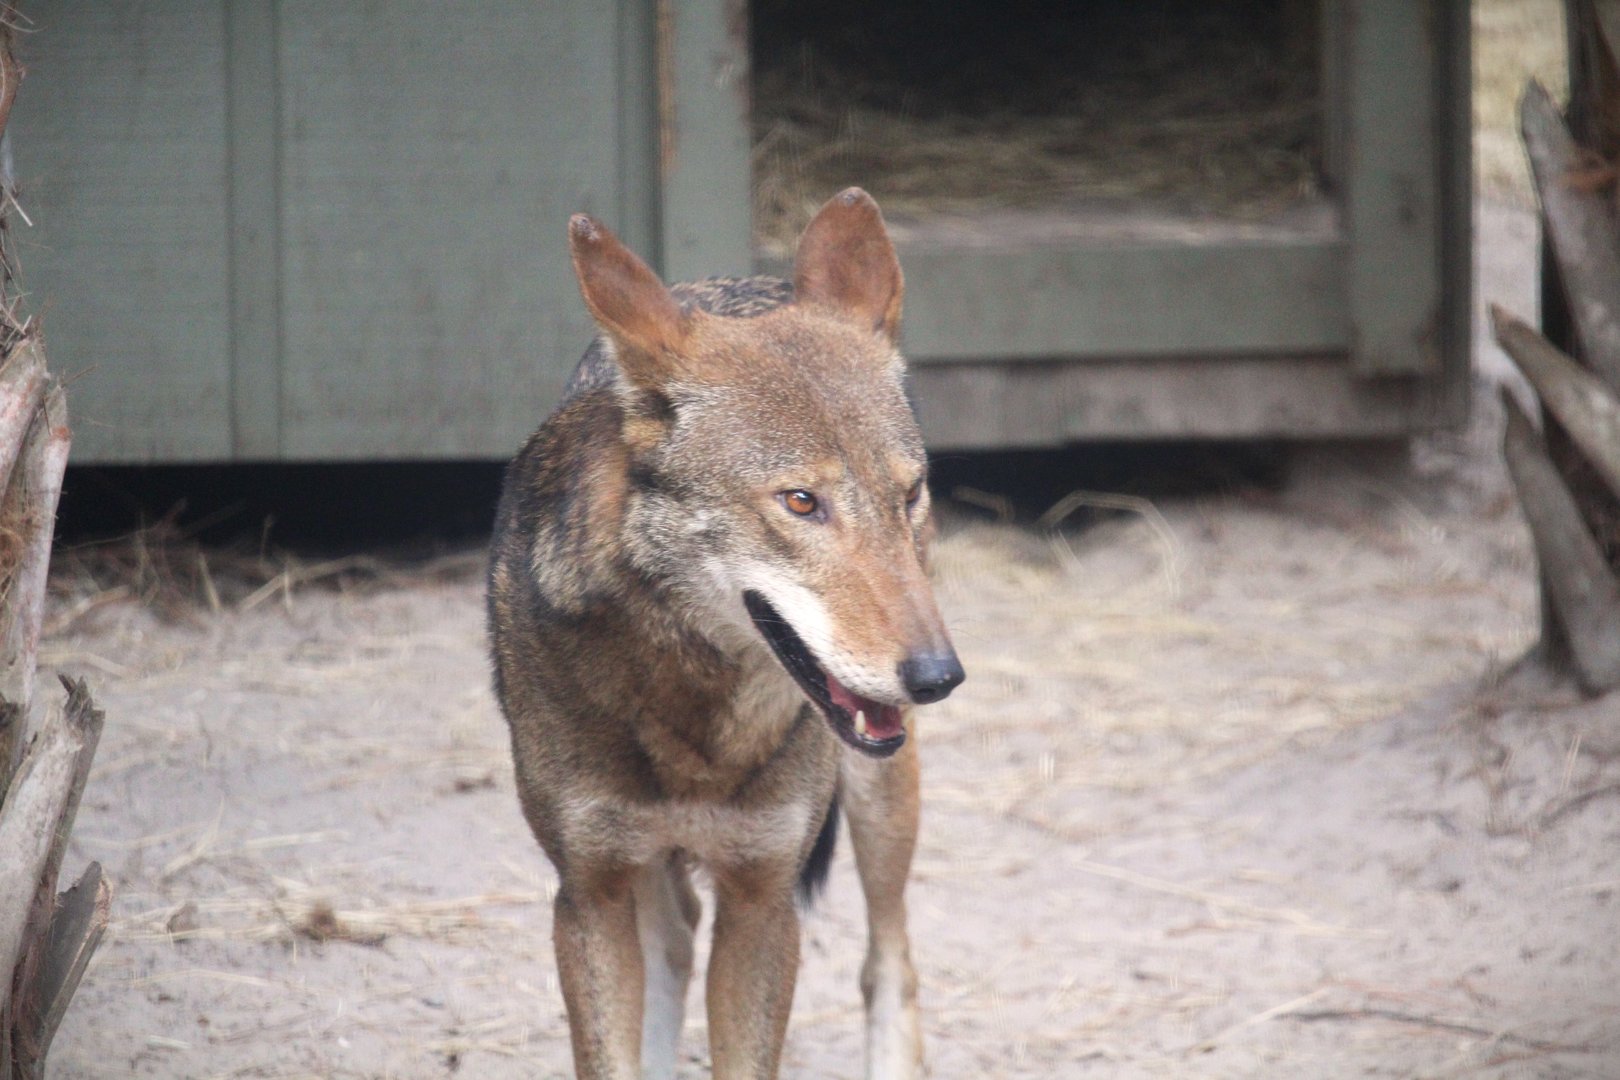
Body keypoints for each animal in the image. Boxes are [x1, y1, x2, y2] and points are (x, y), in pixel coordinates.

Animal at [487, 188, 964, 1080]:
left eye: (908, 494)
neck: (692, 721)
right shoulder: (590, 892)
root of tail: (746, 278)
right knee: (675, 945)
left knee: (890, 959)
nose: (937, 676)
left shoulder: (762, 896)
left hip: (882, 797)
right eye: (801, 502)